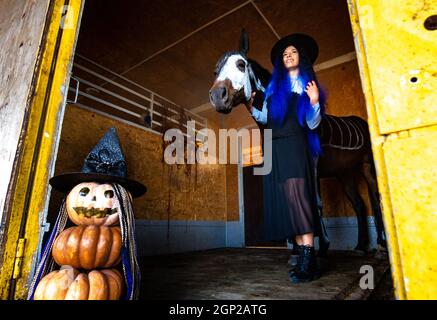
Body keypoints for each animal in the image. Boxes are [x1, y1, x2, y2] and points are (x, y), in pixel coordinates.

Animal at [208, 28, 384, 256]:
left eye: (240, 64)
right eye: (215, 71)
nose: (217, 97)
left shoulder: (313, 164)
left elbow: (316, 203)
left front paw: (321, 247)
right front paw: (296, 249)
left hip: (367, 165)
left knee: (376, 198)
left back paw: (381, 244)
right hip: (344, 173)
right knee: (359, 204)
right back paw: (361, 246)